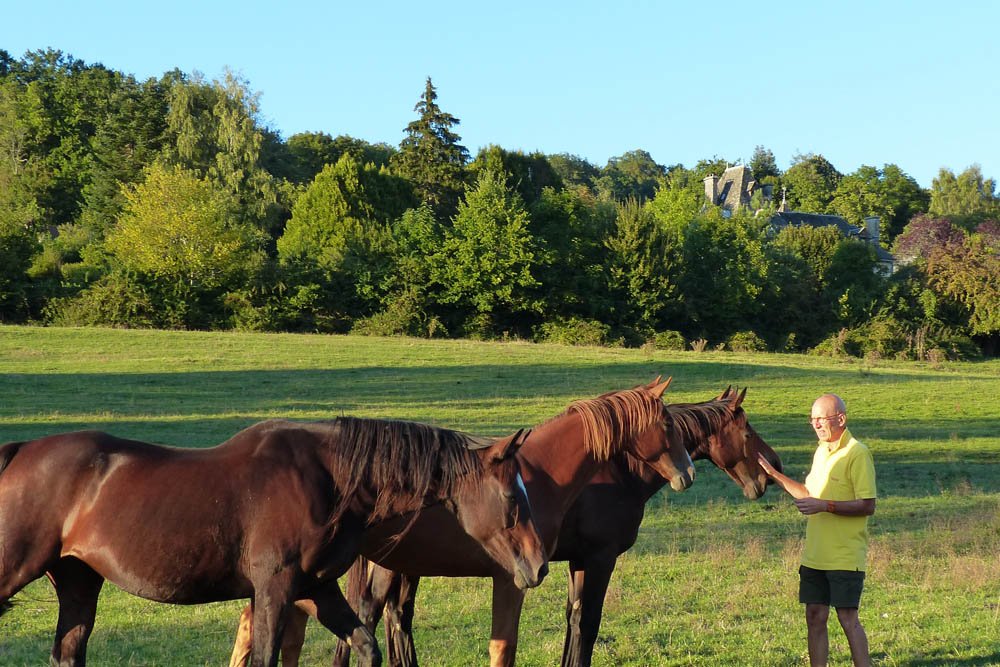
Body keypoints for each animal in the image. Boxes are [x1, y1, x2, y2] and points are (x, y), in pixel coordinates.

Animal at [0, 417, 550, 667]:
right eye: (512, 497)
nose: (539, 567)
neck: (327, 479)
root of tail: (20, 451)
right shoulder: (275, 590)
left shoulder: (317, 589)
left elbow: (365, 645)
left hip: (78, 584)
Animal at [296, 385, 783, 667]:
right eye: (747, 431)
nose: (769, 473)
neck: (610, 471)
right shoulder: (598, 559)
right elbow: (588, 623)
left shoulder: (576, 561)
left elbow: (574, 620)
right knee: (373, 618)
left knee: (396, 619)